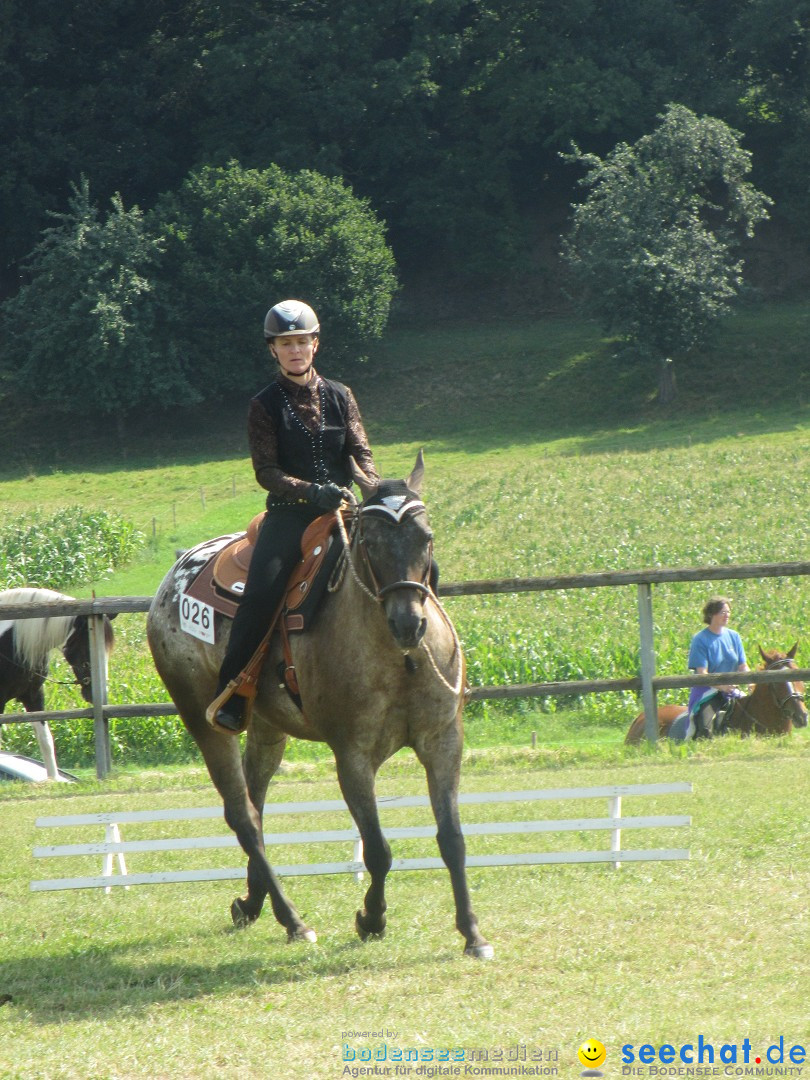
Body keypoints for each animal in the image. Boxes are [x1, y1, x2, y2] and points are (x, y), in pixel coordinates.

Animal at [147, 451, 494, 959]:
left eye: (426, 537)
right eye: (369, 541)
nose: (408, 623)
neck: (399, 658)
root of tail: (174, 578)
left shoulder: (443, 742)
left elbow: (452, 839)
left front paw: (472, 933)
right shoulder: (352, 757)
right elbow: (378, 850)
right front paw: (371, 919)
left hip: (267, 727)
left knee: (255, 804)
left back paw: (253, 903)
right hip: (201, 718)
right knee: (241, 816)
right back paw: (293, 921)